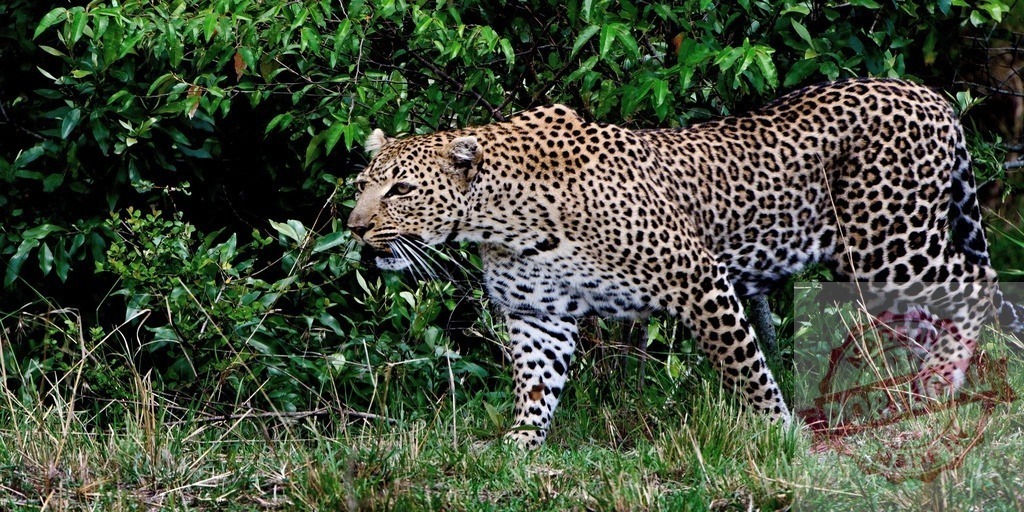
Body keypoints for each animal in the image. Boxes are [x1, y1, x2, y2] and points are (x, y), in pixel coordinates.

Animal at [347, 78, 1024, 448]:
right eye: (362, 184)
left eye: (401, 190)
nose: (354, 228)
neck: (501, 220)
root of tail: (933, 95)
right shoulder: (537, 315)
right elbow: (534, 386)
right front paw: (518, 446)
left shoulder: (700, 279)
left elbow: (746, 369)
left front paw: (780, 434)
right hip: (879, 264)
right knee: (932, 317)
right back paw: (912, 403)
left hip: (891, 241)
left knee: (979, 284)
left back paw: (933, 391)